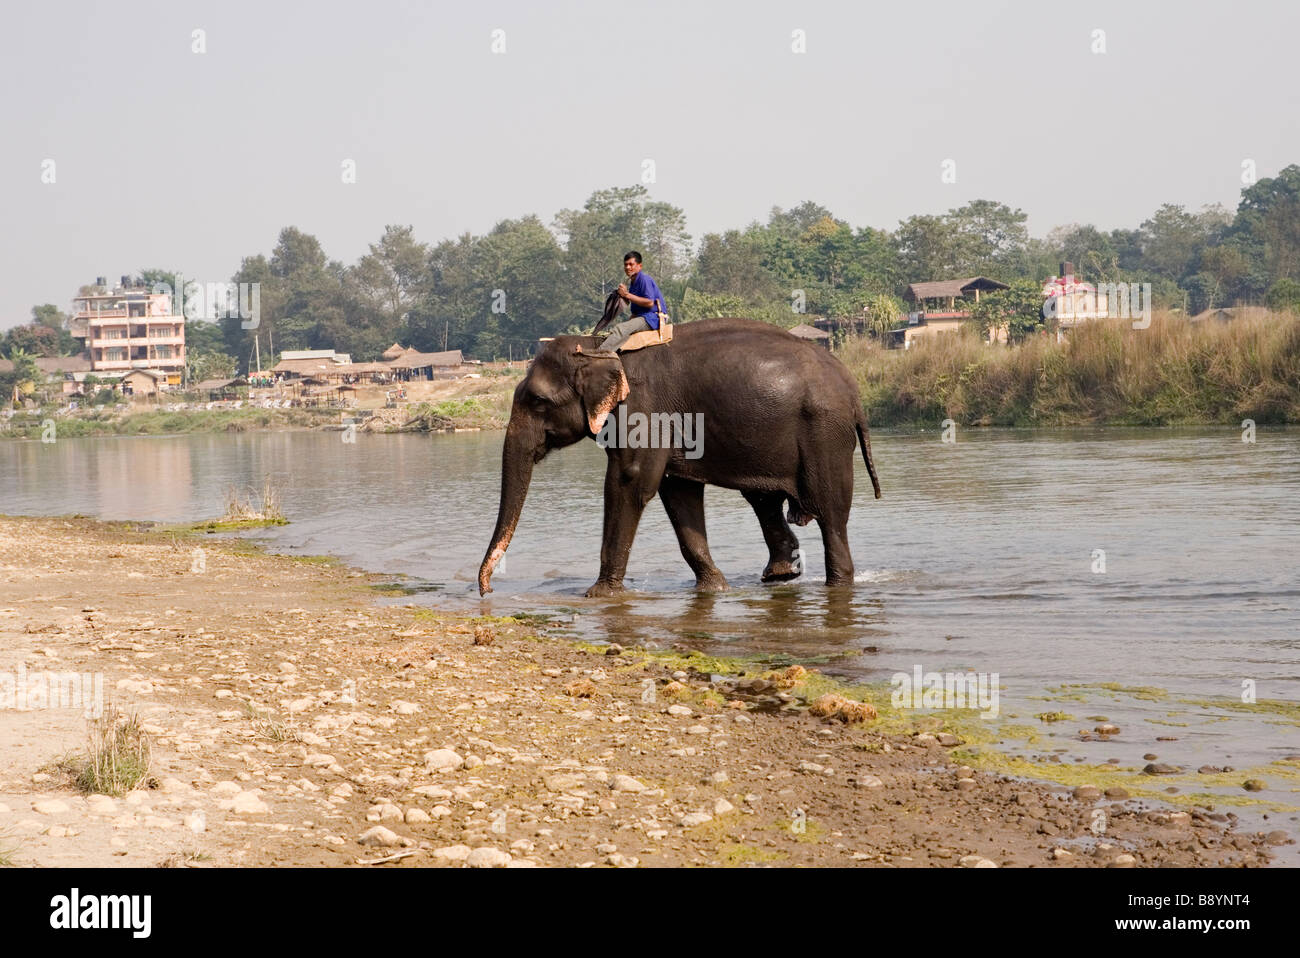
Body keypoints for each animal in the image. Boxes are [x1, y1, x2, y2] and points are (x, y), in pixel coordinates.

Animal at [478, 317, 883, 595]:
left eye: (537, 400)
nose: (487, 590)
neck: (596, 346)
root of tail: (854, 391)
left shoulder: (644, 412)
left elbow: (631, 482)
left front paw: (598, 595)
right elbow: (678, 492)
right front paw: (713, 589)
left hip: (825, 435)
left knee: (831, 516)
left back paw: (836, 583)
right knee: (763, 499)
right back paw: (779, 575)